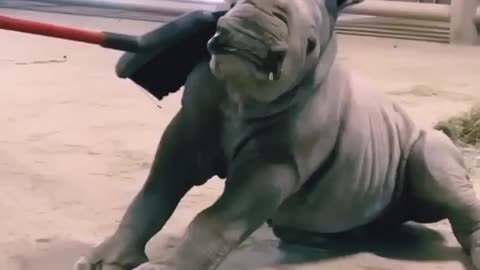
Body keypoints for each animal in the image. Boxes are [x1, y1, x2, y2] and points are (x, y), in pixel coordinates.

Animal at [73, 0, 480, 270]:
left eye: (311, 45)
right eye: (229, 4)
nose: (246, 36)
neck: (241, 94)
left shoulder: (276, 164)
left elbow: (215, 219)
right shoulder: (188, 130)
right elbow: (154, 194)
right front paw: (101, 262)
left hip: (424, 141)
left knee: (434, 165)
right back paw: (342, 237)